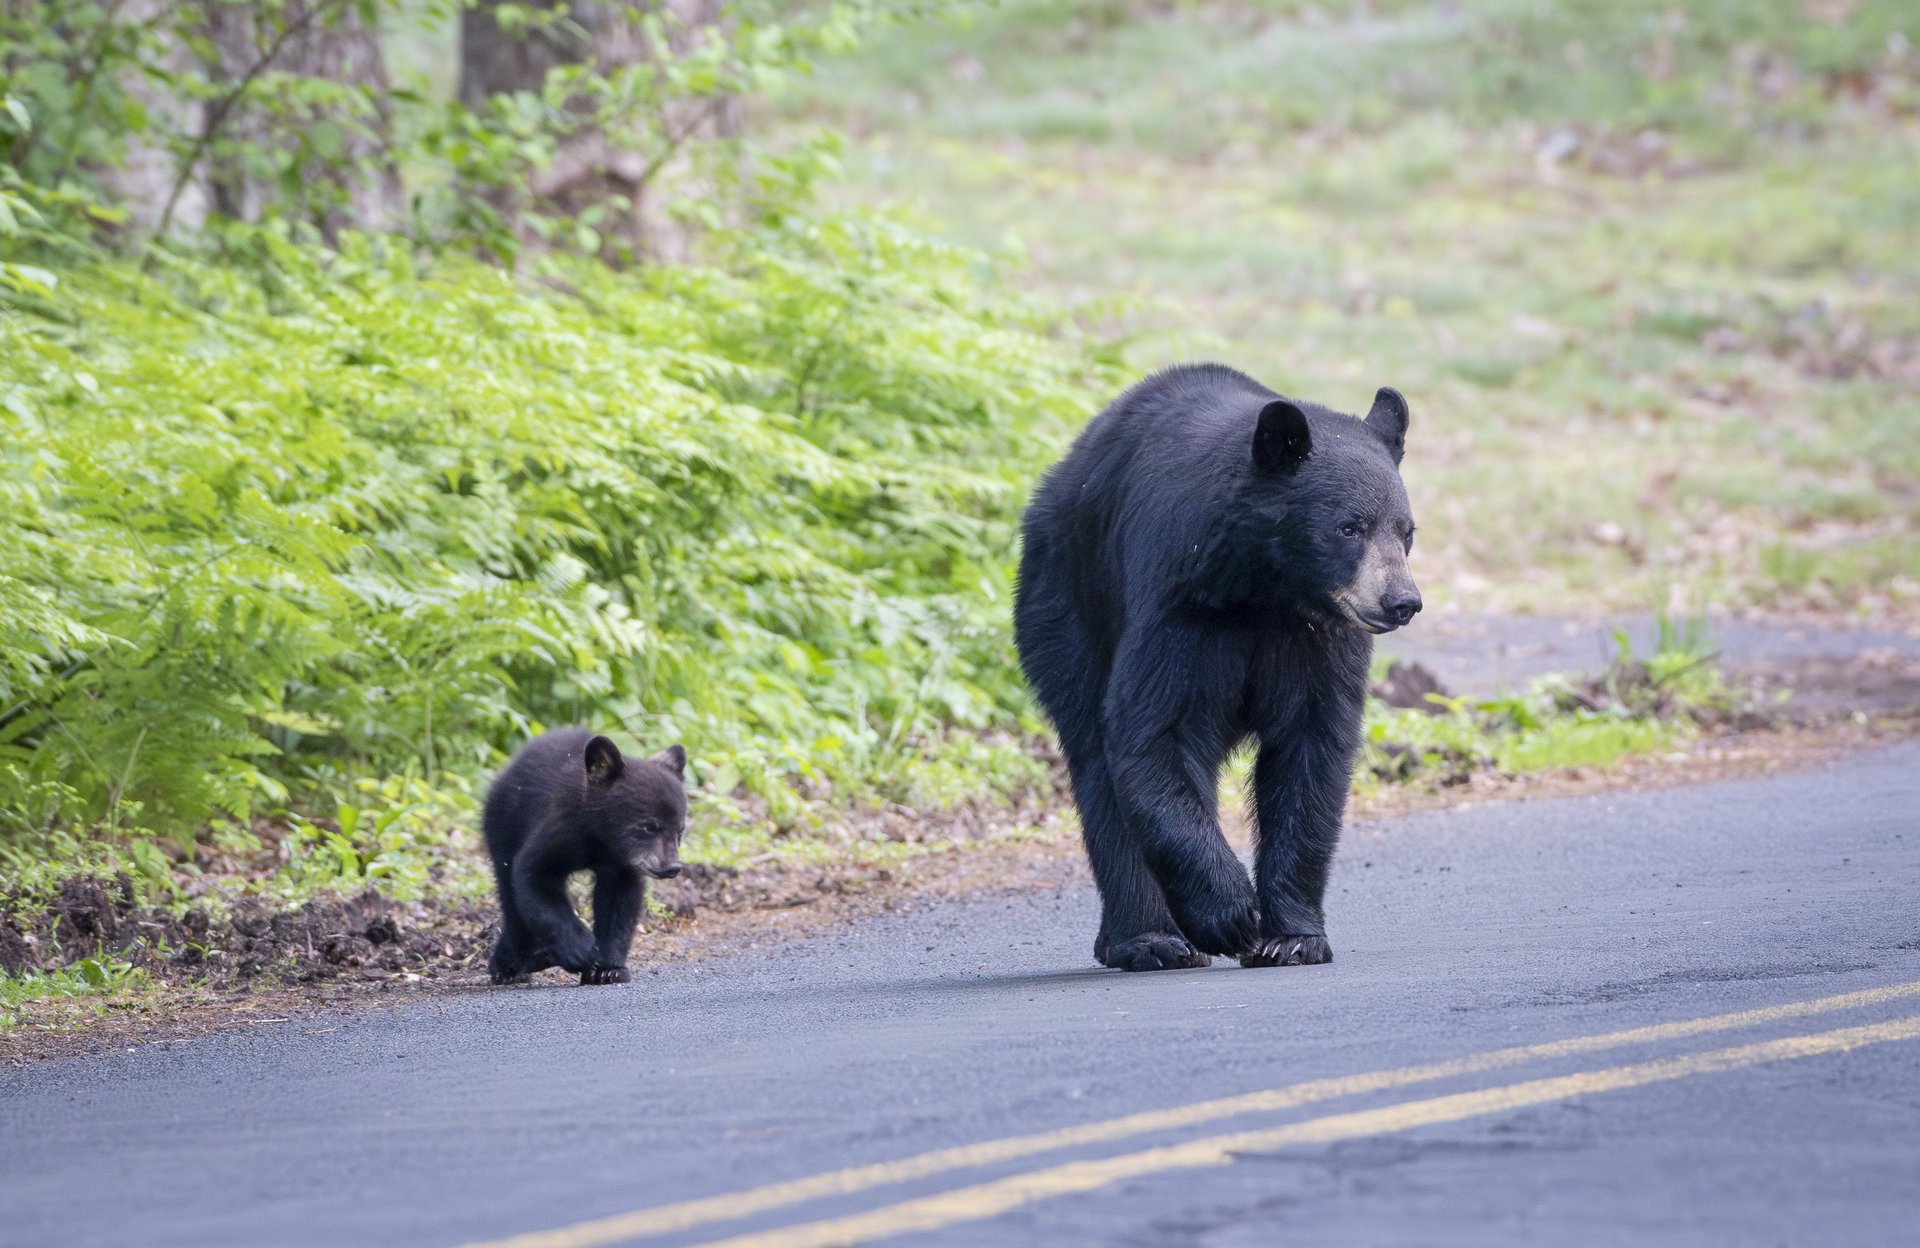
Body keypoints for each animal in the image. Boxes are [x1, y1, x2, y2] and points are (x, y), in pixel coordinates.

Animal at [484, 729, 689, 985]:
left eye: (680, 830)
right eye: (648, 826)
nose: (671, 867)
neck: (601, 838)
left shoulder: (620, 864)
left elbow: (619, 902)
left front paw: (610, 968)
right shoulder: (562, 828)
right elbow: (534, 874)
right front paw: (583, 951)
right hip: (503, 825)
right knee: (510, 897)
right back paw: (511, 965)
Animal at [1013, 363, 1421, 972]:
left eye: (1406, 531)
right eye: (1350, 527)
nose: (1401, 602)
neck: (1262, 586)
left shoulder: (1317, 640)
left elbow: (1313, 749)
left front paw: (1293, 936)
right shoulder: (1178, 604)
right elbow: (1154, 732)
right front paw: (1230, 915)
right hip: (1067, 601)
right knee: (1095, 756)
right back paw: (1148, 939)